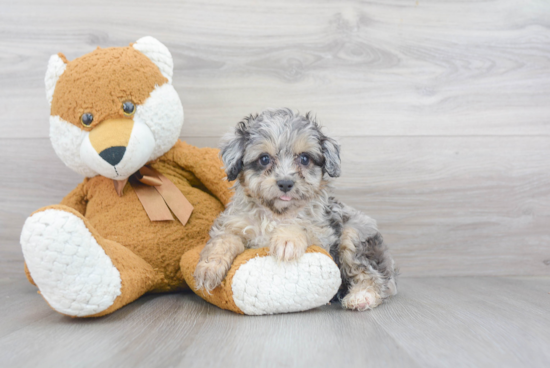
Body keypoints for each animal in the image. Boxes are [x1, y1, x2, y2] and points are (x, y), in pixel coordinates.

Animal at [194, 108, 396, 310]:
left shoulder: (322, 234)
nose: (285, 183)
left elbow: (301, 225)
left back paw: (362, 296)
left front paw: (287, 240)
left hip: (353, 236)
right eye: (264, 159)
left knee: (373, 275)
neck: (277, 213)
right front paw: (208, 268)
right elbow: (223, 241)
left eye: (305, 159)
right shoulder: (234, 224)